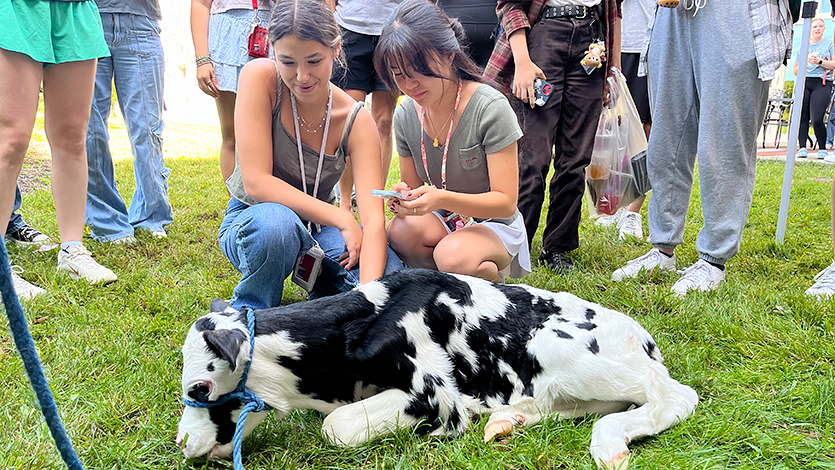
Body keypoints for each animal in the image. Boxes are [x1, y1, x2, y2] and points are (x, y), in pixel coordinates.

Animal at [176, 268, 700, 470]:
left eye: (200, 387)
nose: (181, 443)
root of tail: (643, 338)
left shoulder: (432, 394)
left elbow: (336, 427)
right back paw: (507, 420)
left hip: (557, 346)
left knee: (674, 395)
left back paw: (609, 446)